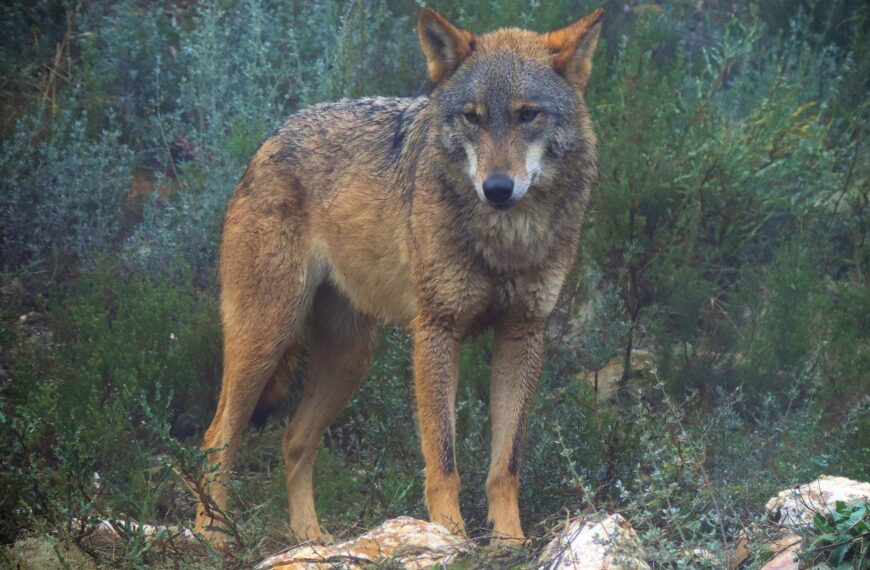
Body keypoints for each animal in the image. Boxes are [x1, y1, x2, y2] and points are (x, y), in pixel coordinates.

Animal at [194, 7, 602, 546]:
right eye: (472, 116)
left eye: (527, 114)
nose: (497, 188)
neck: (506, 240)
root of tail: (270, 139)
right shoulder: (437, 332)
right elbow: (443, 456)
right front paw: (450, 535)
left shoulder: (522, 335)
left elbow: (505, 464)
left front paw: (510, 541)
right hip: (264, 342)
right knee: (216, 438)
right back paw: (211, 537)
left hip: (349, 362)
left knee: (293, 440)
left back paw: (312, 540)